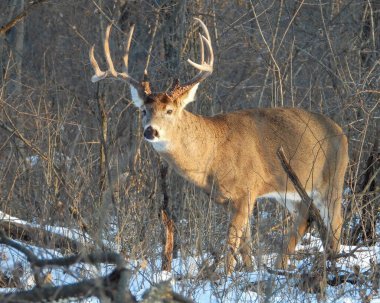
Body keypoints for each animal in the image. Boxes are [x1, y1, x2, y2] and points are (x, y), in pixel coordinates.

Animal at [89, 19, 348, 276]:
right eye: (144, 110)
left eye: (169, 110)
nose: (150, 131)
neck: (211, 156)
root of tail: (341, 131)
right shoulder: (230, 199)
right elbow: (244, 244)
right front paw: (249, 271)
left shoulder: (246, 190)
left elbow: (231, 242)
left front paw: (225, 276)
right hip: (291, 189)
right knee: (304, 217)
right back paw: (281, 266)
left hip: (332, 179)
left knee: (336, 222)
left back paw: (332, 264)